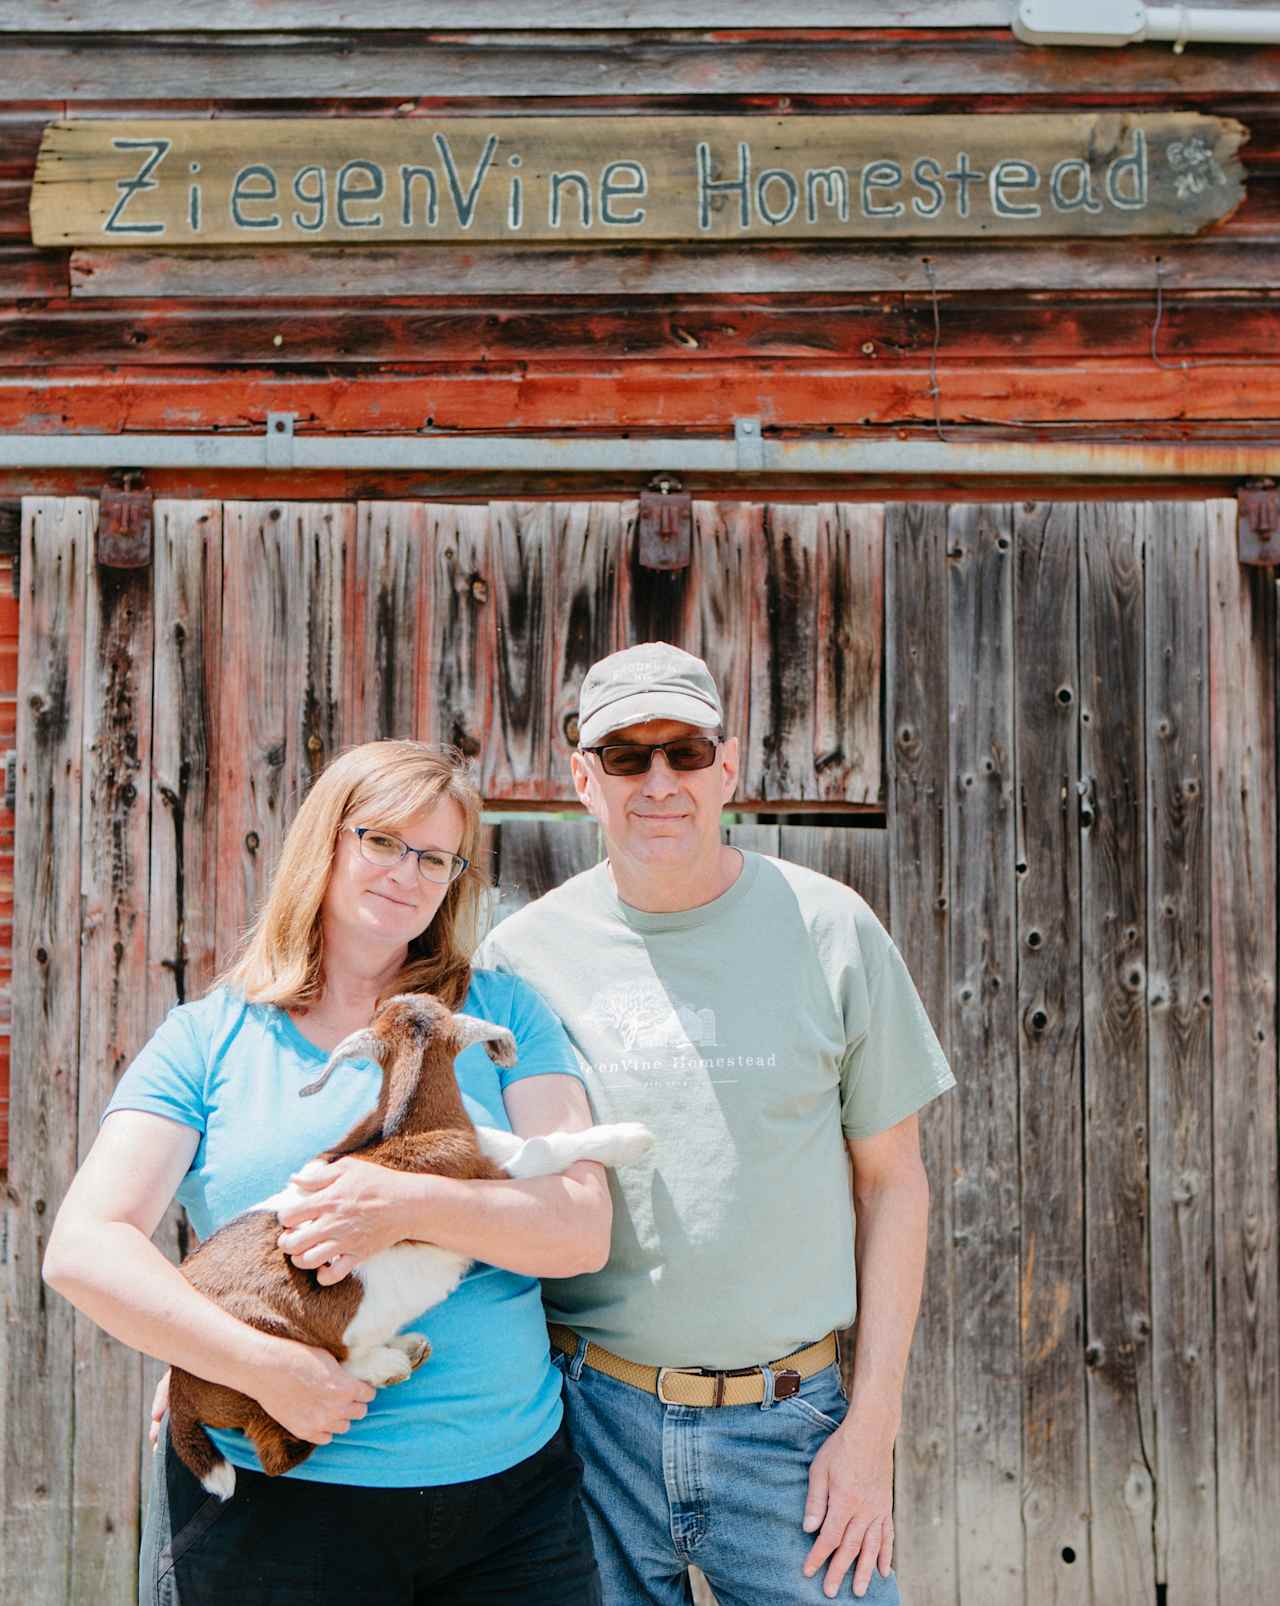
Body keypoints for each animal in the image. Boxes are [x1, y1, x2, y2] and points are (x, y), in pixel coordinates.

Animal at [167, 995, 648, 1496]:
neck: (408, 1121)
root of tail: (181, 1393)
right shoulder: (487, 1178)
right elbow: (541, 1149)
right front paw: (636, 1140)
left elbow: (527, 1138)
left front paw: (622, 1137)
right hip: (265, 1367)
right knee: (282, 1445)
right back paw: (385, 1365)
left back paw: (405, 1349)